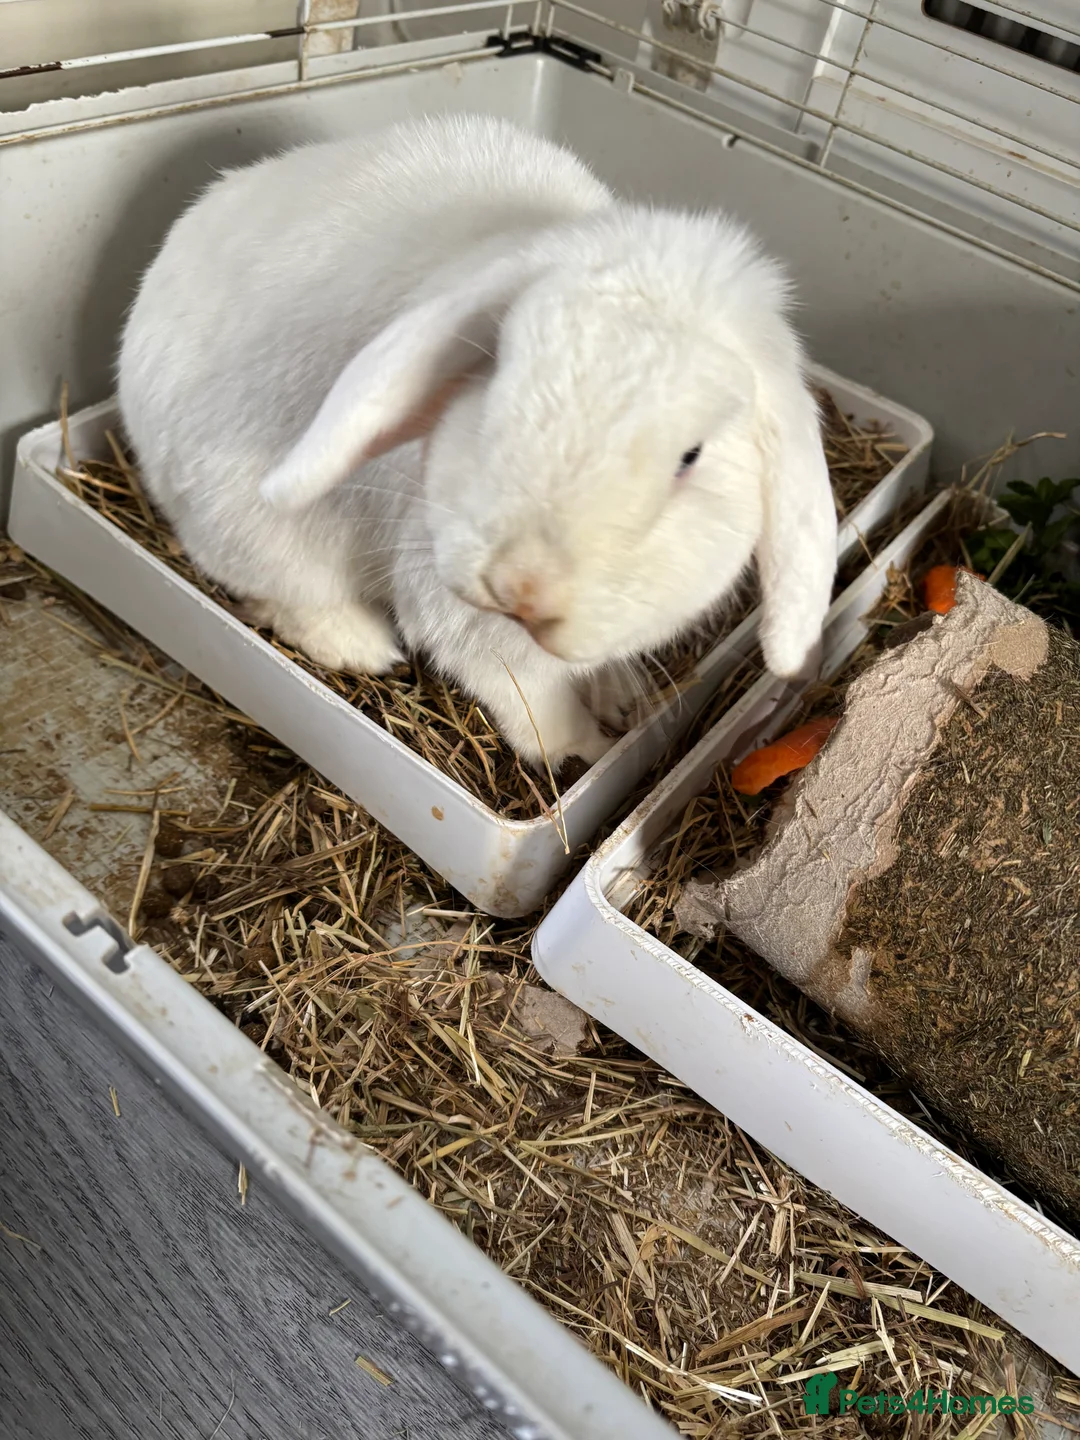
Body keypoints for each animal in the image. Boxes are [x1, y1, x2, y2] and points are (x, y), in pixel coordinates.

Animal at [117, 113, 837, 772]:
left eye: (691, 456)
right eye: (500, 373)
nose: (520, 586)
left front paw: (622, 698)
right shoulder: (465, 621)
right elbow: (535, 703)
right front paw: (585, 750)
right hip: (253, 533)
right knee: (282, 597)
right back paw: (363, 645)